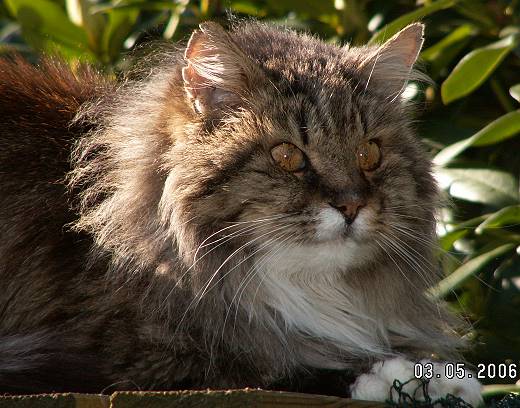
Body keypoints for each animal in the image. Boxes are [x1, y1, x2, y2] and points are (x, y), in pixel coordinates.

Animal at [0, 20, 482, 404]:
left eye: (369, 154)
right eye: (288, 156)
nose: (351, 204)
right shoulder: (124, 359)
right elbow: (279, 369)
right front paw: (416, 380)